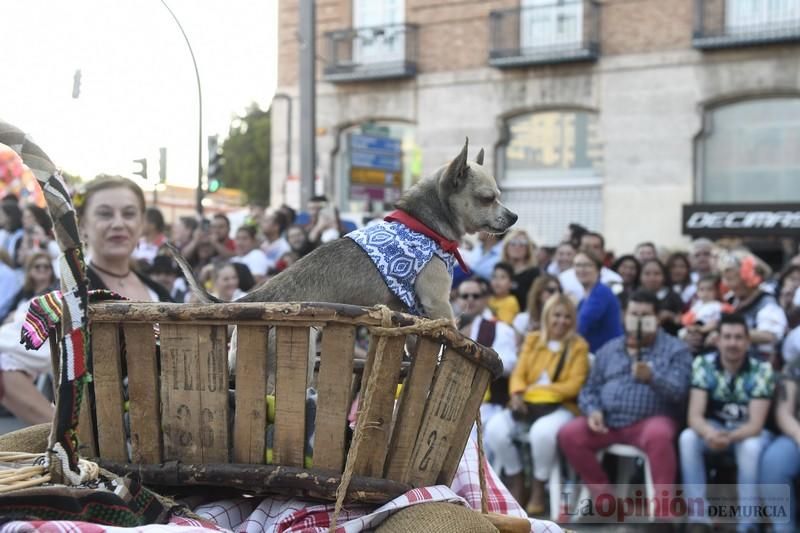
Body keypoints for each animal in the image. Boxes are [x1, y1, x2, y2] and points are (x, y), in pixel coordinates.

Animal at [172, 137, 516, 320]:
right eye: (487, 199)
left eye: (500, 196)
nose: (513, 217)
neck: (424, 225)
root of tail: (254, 298)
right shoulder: (439, 304)